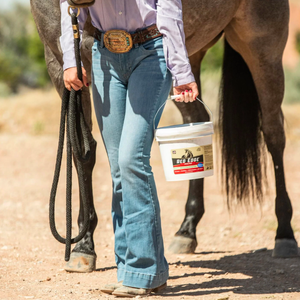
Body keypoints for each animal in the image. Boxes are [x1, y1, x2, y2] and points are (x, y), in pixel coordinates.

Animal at [29, 0, 298, 272]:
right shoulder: (63, 64)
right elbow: (82, 150)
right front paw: (83, 246)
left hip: (262, 49)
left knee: (274, 134)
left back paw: (284, 236)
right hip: (185, 57)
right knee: (195, 120)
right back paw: (187, 230)